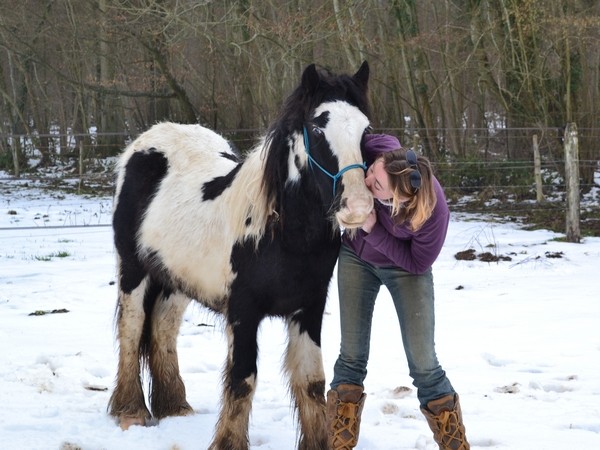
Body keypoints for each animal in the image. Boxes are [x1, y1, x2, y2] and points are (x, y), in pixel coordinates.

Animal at [108, 62, 370, 450]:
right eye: (317, 127)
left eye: (367, 128)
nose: (358, 207)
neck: (279, 233)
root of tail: (145, 143)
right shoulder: (244, 312)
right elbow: (243, 379)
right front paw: (228, 442)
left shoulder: (309, 309)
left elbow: (312, 382)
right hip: (133, 269)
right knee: (132, 327)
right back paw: (131, 411)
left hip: (176, 280)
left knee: (162, 328)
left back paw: (174, 407)